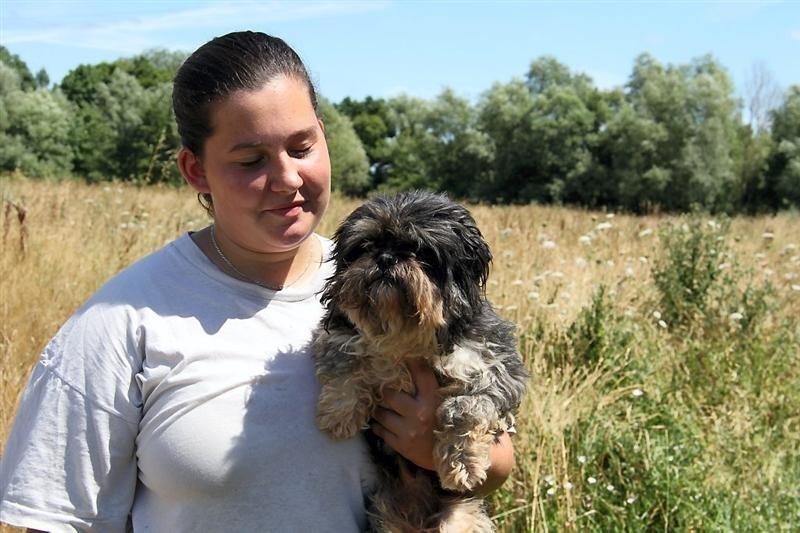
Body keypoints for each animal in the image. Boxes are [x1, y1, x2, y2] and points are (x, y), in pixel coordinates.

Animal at [314, 189, 532, 528]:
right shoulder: (340, 337)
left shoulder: (496, 368)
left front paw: (462, 461)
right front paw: (339, 414)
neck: (405, 334)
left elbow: (466, 408)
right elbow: (344, 365)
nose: (386, 258)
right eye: (366, 246)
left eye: (419, 250)